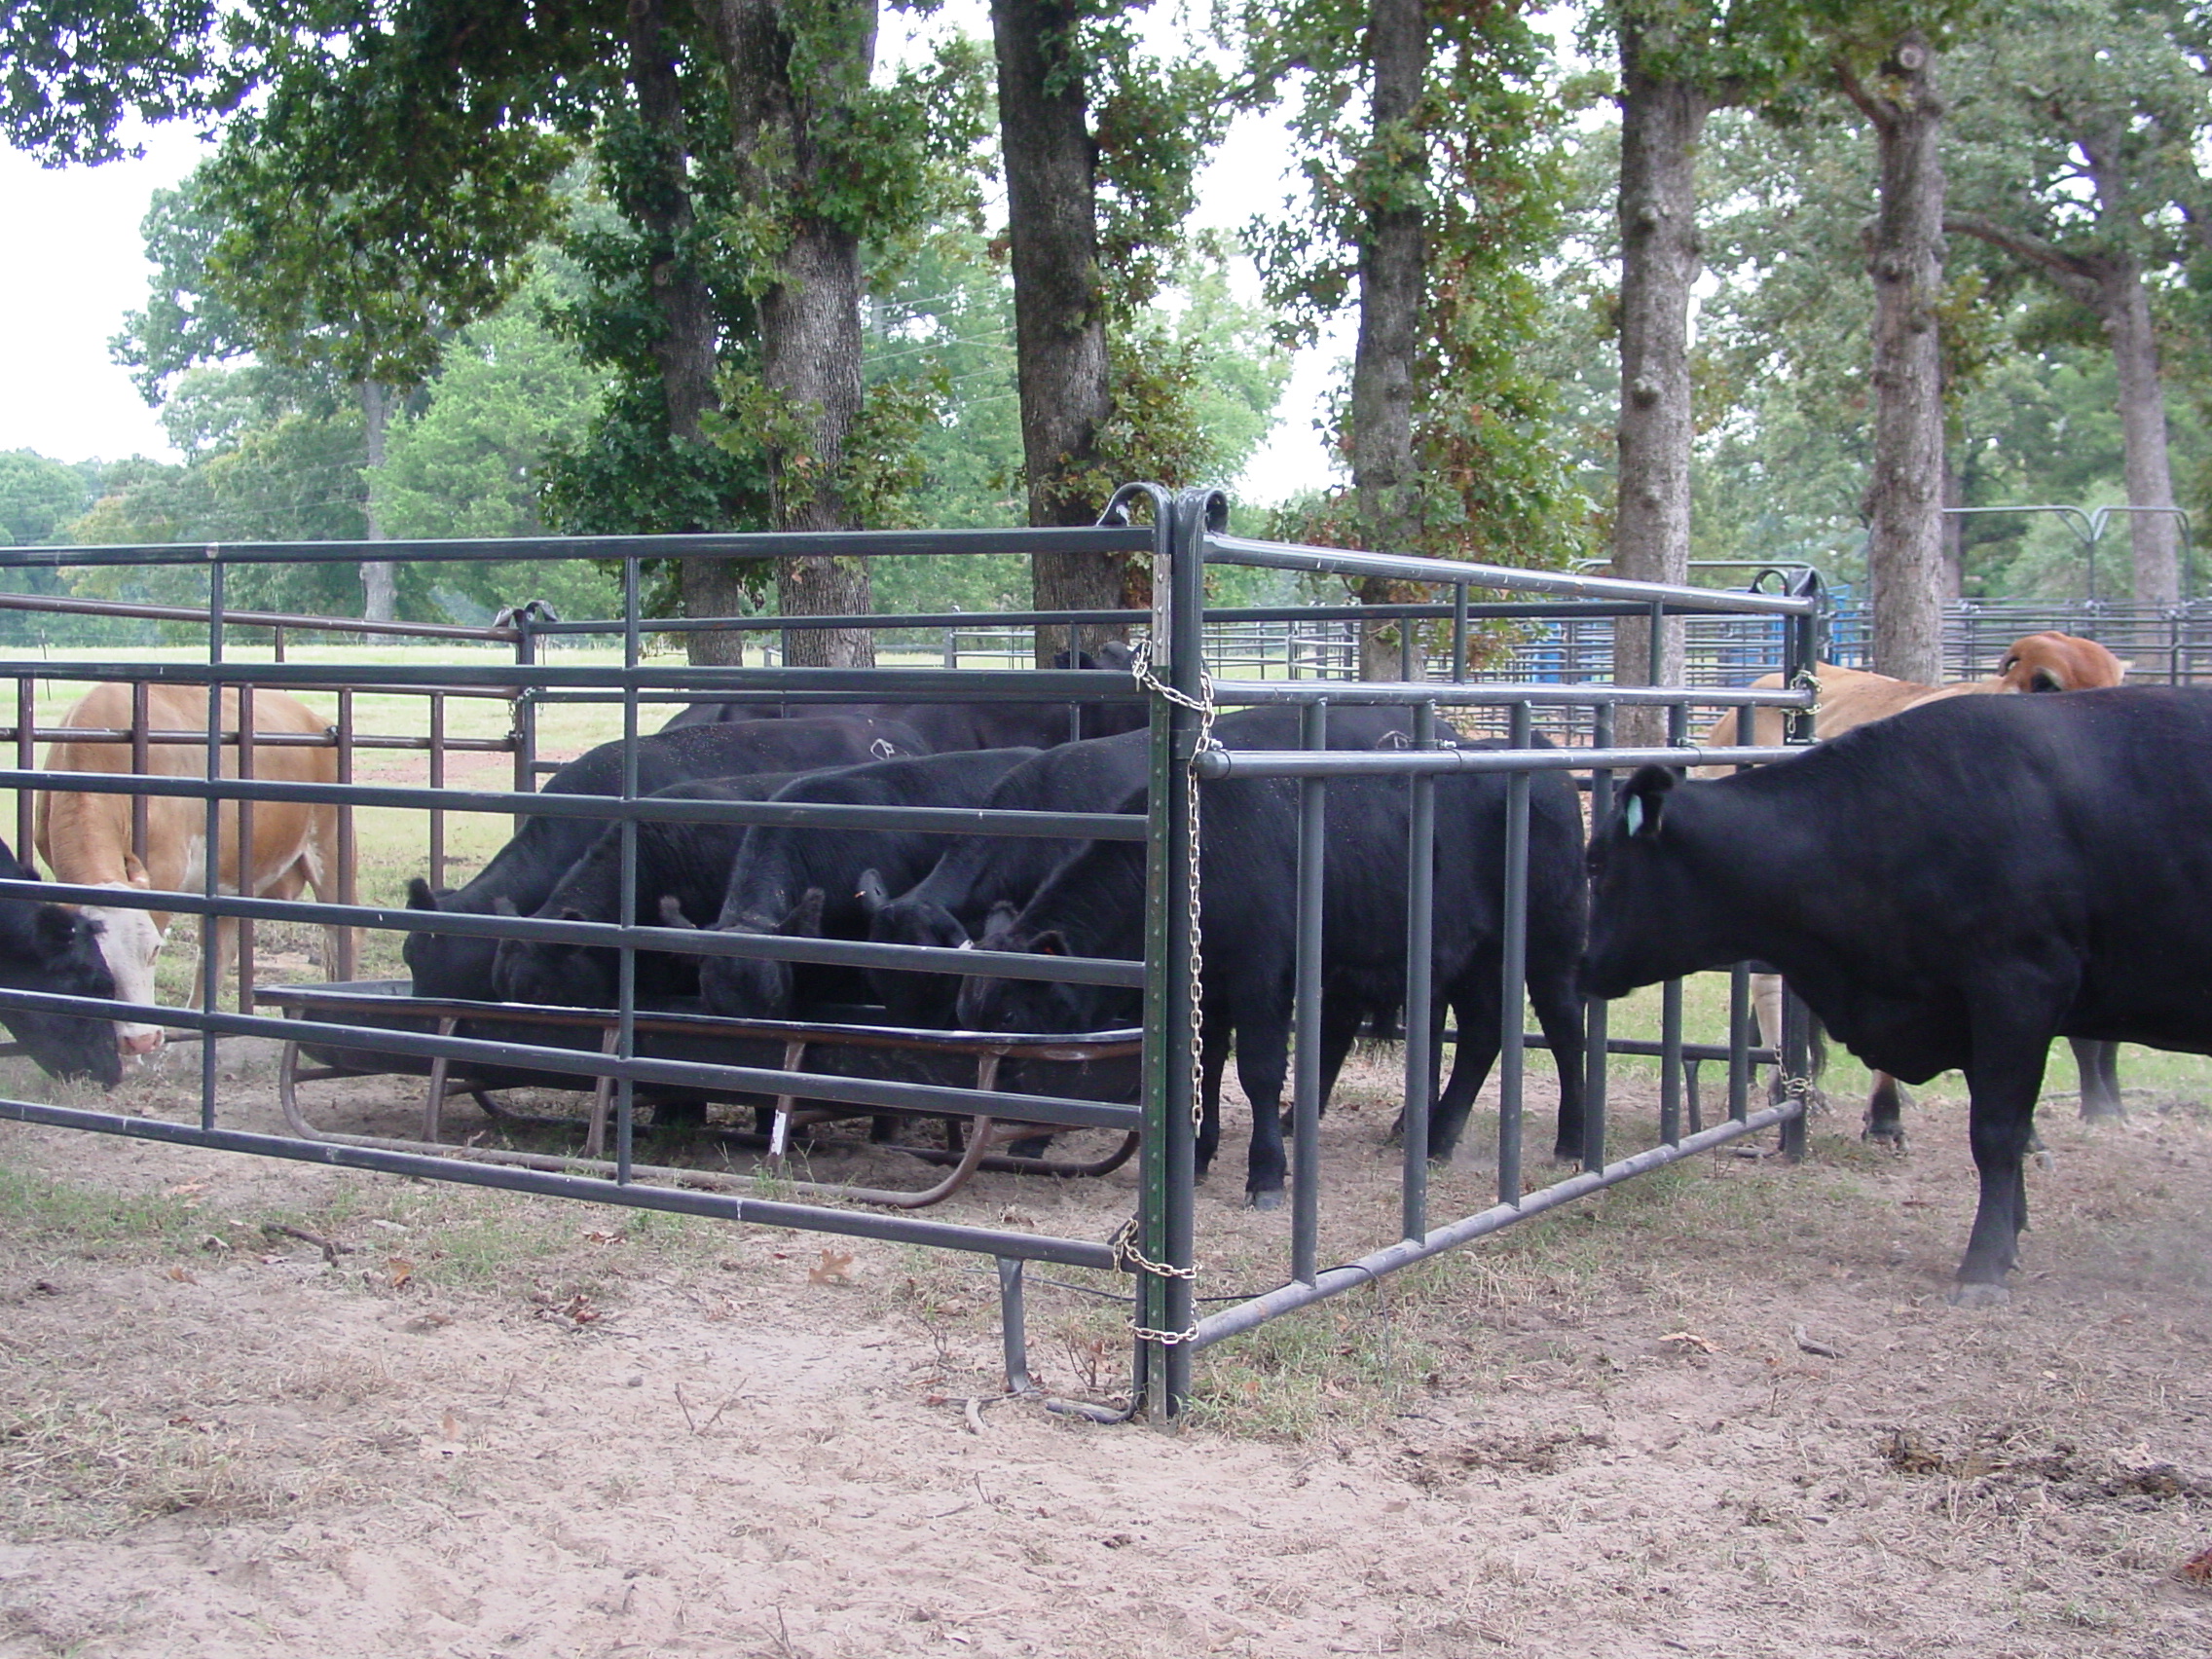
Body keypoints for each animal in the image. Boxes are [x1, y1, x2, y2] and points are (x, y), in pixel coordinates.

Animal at [36, 684, 350, 1057]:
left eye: (155, 950)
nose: (140, 1040)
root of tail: (314, 719)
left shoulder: (163, 872)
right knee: (218, 951)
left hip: (330, 846)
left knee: (343, 934)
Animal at [956, 749, 1589, 1208]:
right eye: (966, 1016)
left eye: (1012, 1017)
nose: (975, 1115)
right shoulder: (1209, 989)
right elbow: (1207, 1068)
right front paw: (1199, 1156)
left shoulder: (1261, 978)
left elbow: (1257, 1073)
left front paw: (1264, 1176)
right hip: (1476, 956)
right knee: (1483, 1033)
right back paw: (1437, 1140)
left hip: (1550, 941)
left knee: (1564, 1029)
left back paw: (1572, 1142)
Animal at [1581, 686, 2212, 1305]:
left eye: (1596, 863)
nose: (1582, 968)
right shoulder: (1967, 1007)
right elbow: (2002, 1125)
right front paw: (2010, 1237)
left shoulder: (2020, 987)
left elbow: (1996, 1132)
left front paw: (1982, 1266)